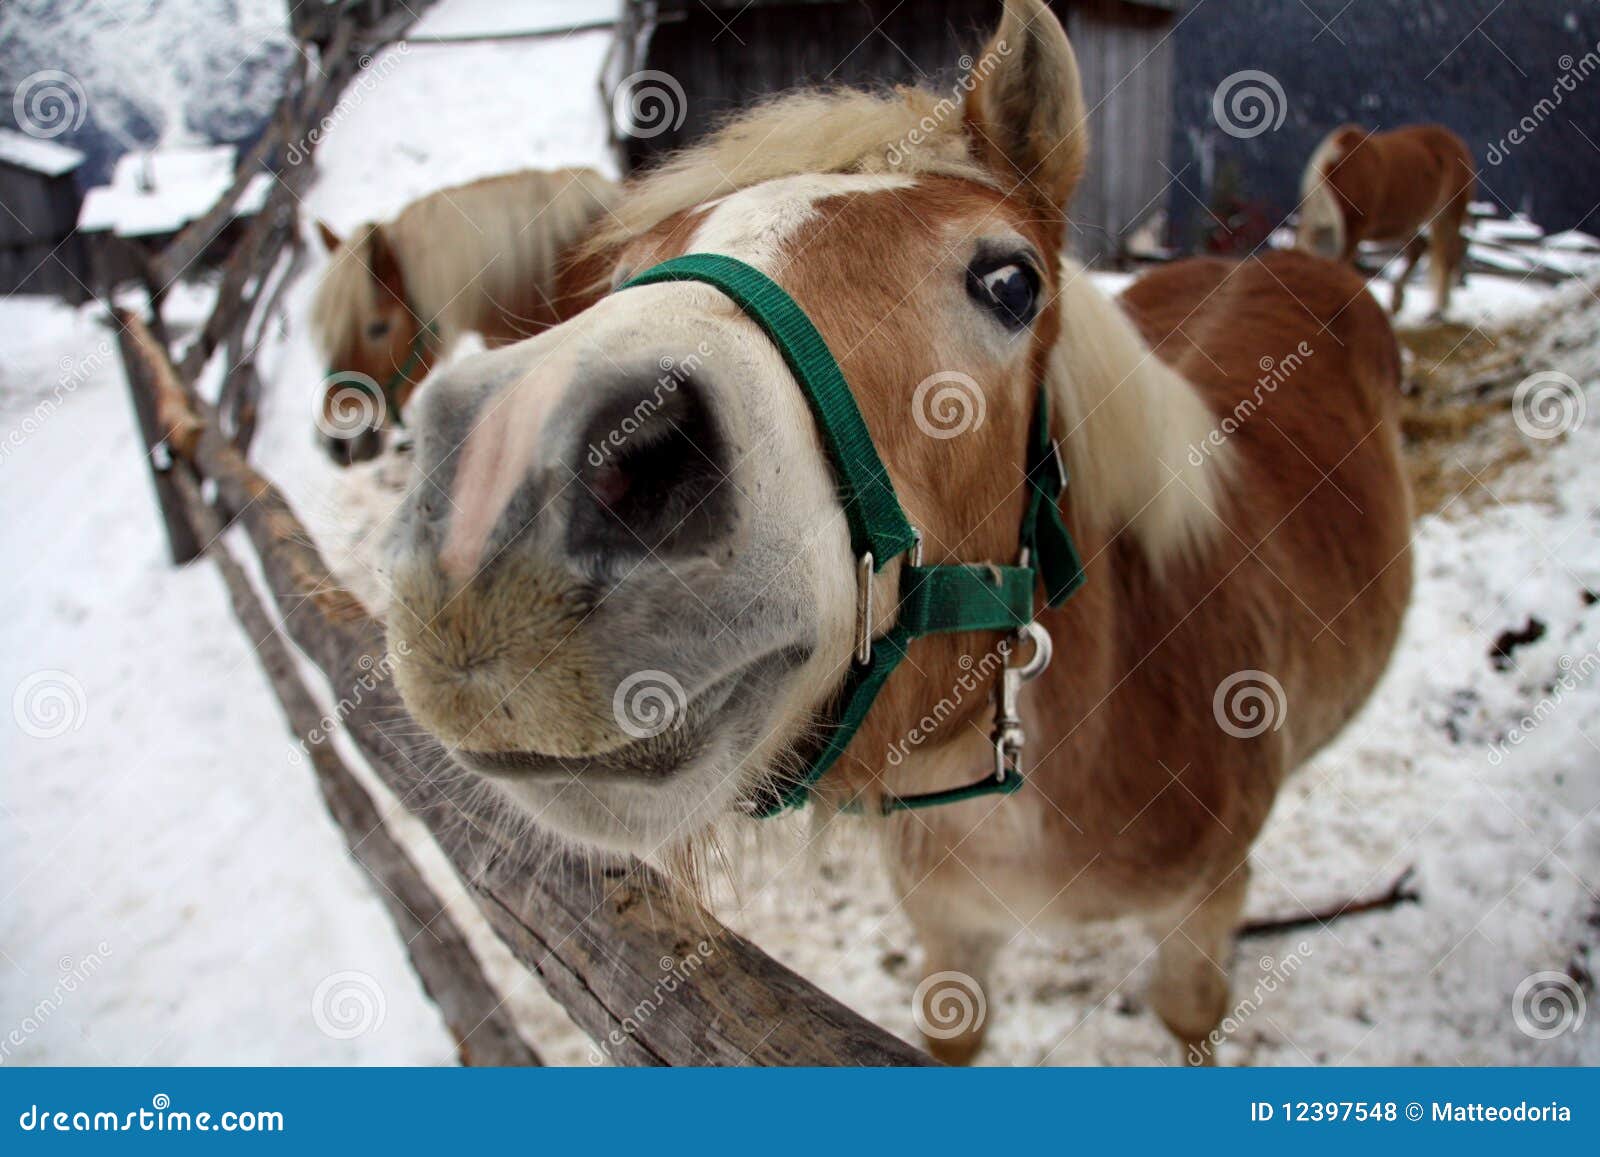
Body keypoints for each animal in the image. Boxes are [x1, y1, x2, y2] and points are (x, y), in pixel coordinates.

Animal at [1296, 123, 1476, 317]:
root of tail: (1454, 140)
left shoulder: (1353, 232)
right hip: (1407, 222)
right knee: (1419, 249)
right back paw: (1398, 303)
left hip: (1449, 213)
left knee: (1449, 255)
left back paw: (1439, 309)